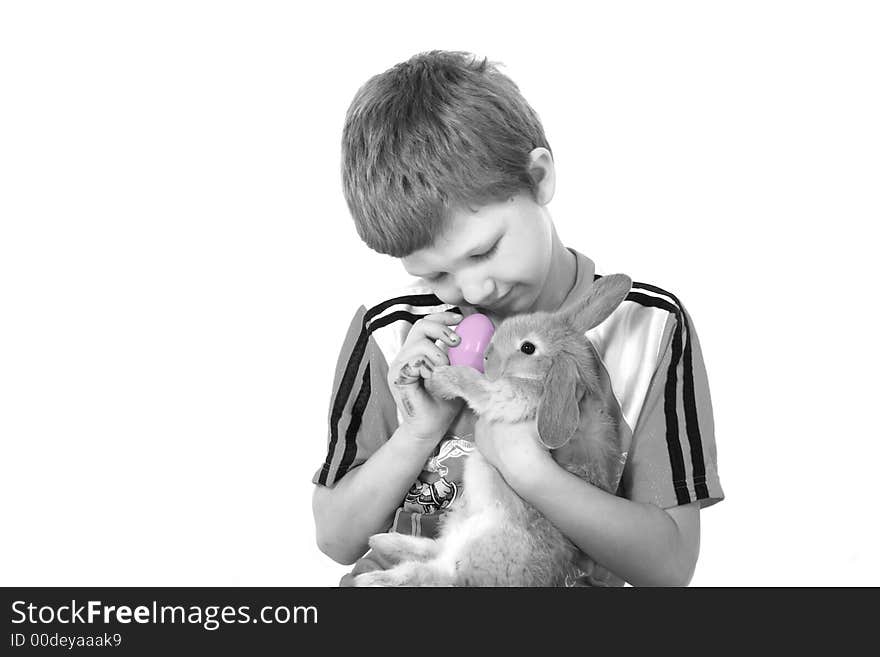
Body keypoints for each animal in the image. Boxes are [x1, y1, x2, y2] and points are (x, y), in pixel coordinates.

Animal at [354, 274, 636, 588]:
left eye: (528, 348)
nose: (487, 355)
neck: (544, 377)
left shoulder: (513, 395)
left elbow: (477, 386)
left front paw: (443, 379)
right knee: (433, 550)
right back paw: (381, 541)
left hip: (471, 553)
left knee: (428, 574)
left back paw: (372, 577)